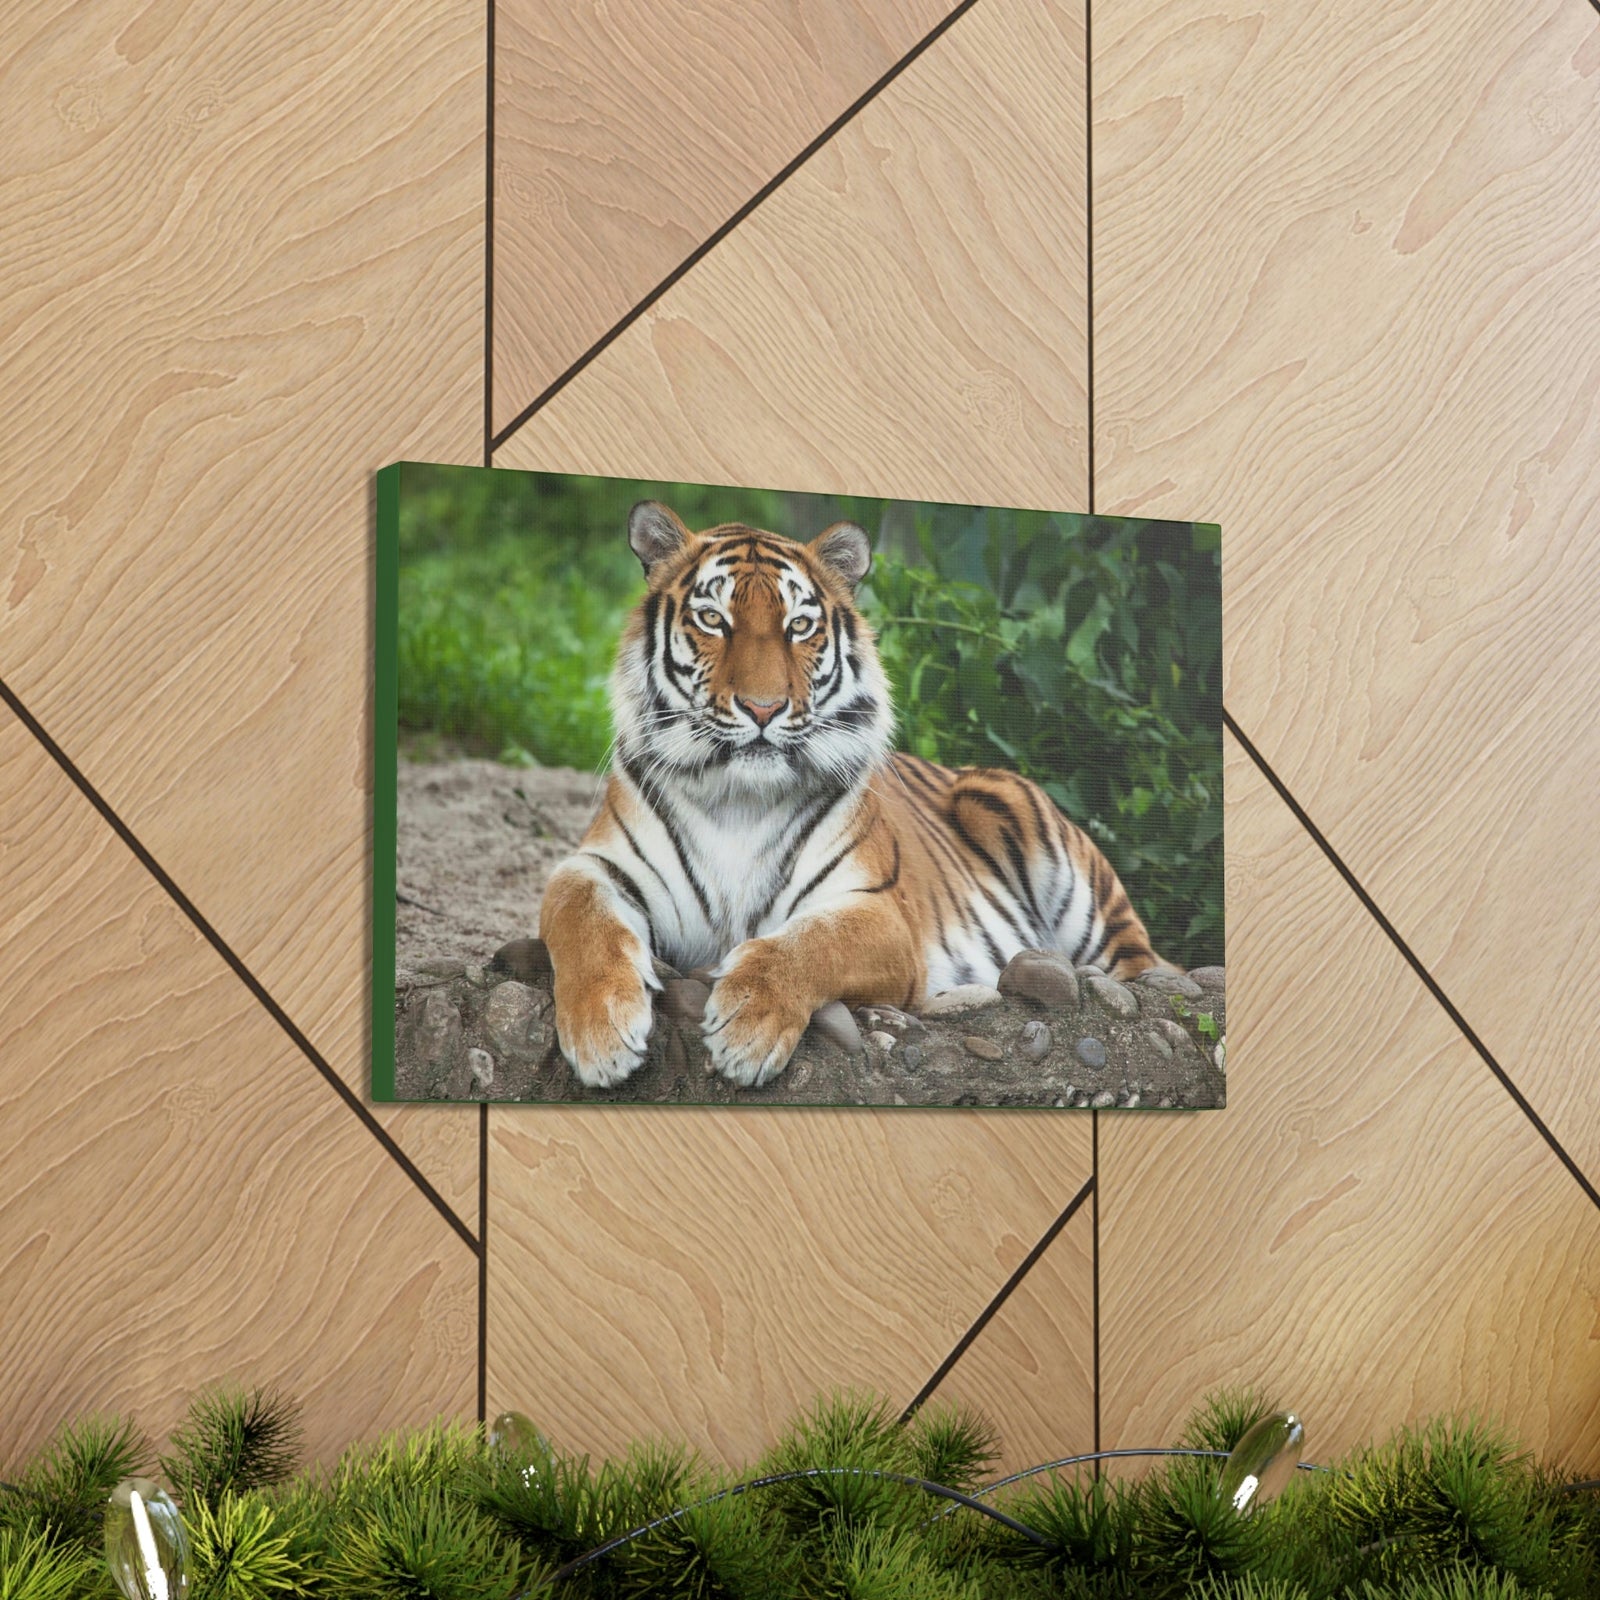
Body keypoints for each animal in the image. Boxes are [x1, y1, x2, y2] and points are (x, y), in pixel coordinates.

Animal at [538, 500, 1170, 1089]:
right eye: (713, 619)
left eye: (798, 626)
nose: (763, 708)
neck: (739, 799)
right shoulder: (594, 866)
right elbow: (582, 918)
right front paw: (601, 1035)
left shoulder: (879, 911)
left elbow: (810, 943)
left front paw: (747, 1028)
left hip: (1034, 837)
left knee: (1143, 966)